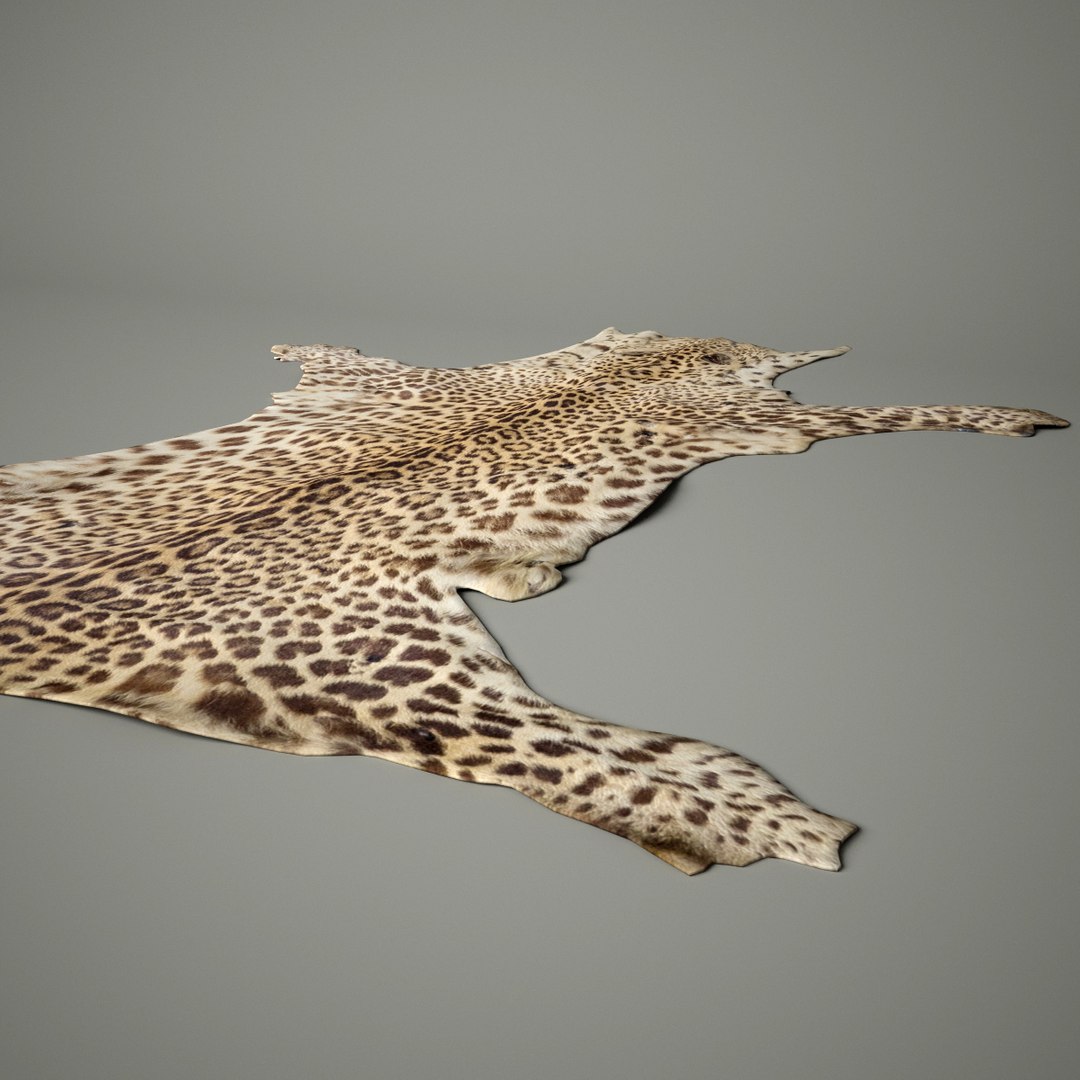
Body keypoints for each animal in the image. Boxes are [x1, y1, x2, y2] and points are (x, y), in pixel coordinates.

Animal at [0, 328, 1067, 874]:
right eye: (729, 343)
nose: (751, 341)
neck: (648, 362)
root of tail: (31, 620)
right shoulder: (768, 424)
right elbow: (908, 406)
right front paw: (1021, 413)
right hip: (409, 675)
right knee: (560, 756)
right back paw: (782, 826)